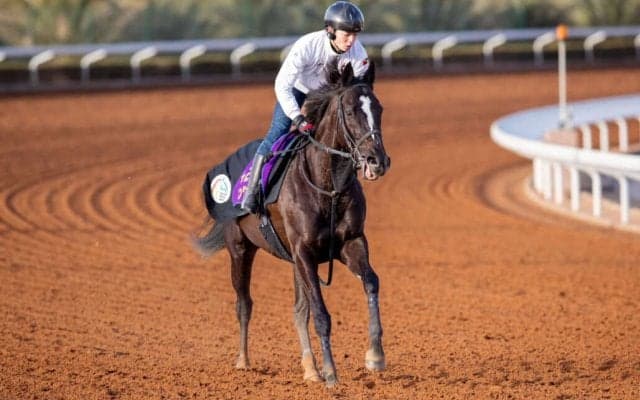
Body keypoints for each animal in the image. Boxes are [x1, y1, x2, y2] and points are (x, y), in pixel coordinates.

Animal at [194, 61, 390, 387]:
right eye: (351, 111)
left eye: (379, 108)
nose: (377, 160)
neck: (328, 187)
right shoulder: (304, 252)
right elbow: (321, 314)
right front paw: (332, 373)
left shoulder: (349, 243)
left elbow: (371, 283)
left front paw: (374, 356)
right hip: (240, 249)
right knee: (244, 304)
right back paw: (243, 360)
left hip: (291, 260)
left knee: (298, 310)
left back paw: (310, 368)